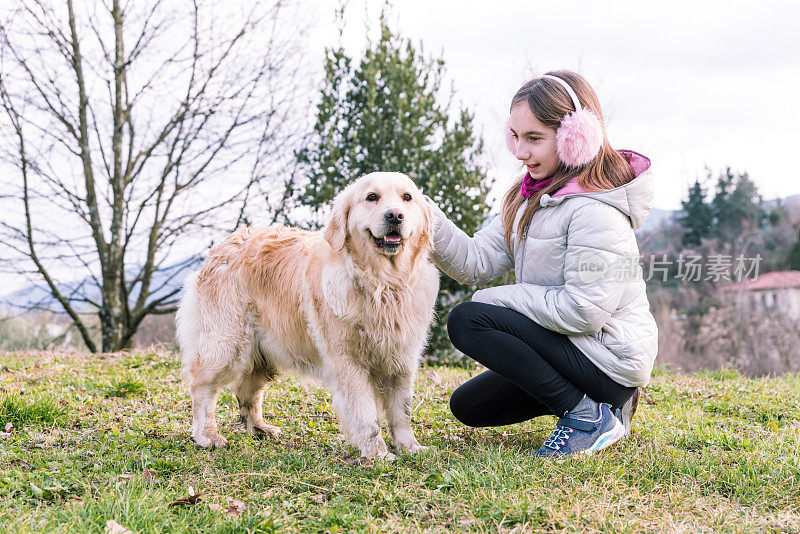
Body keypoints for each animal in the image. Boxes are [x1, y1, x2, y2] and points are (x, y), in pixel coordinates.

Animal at [176, 172, 440, 460]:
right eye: (372, 197)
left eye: (407, 197)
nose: (395, 215)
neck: (382, 284)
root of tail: (222, 245)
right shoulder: (348, 362)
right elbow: (365, 412)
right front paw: (377, 454)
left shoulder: (402, 358)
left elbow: (402, 410)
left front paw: (410, 447)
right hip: (227, 343)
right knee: (202, 387)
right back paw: (207, 436)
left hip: (264, 351)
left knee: (246, 390)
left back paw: (259, 428)